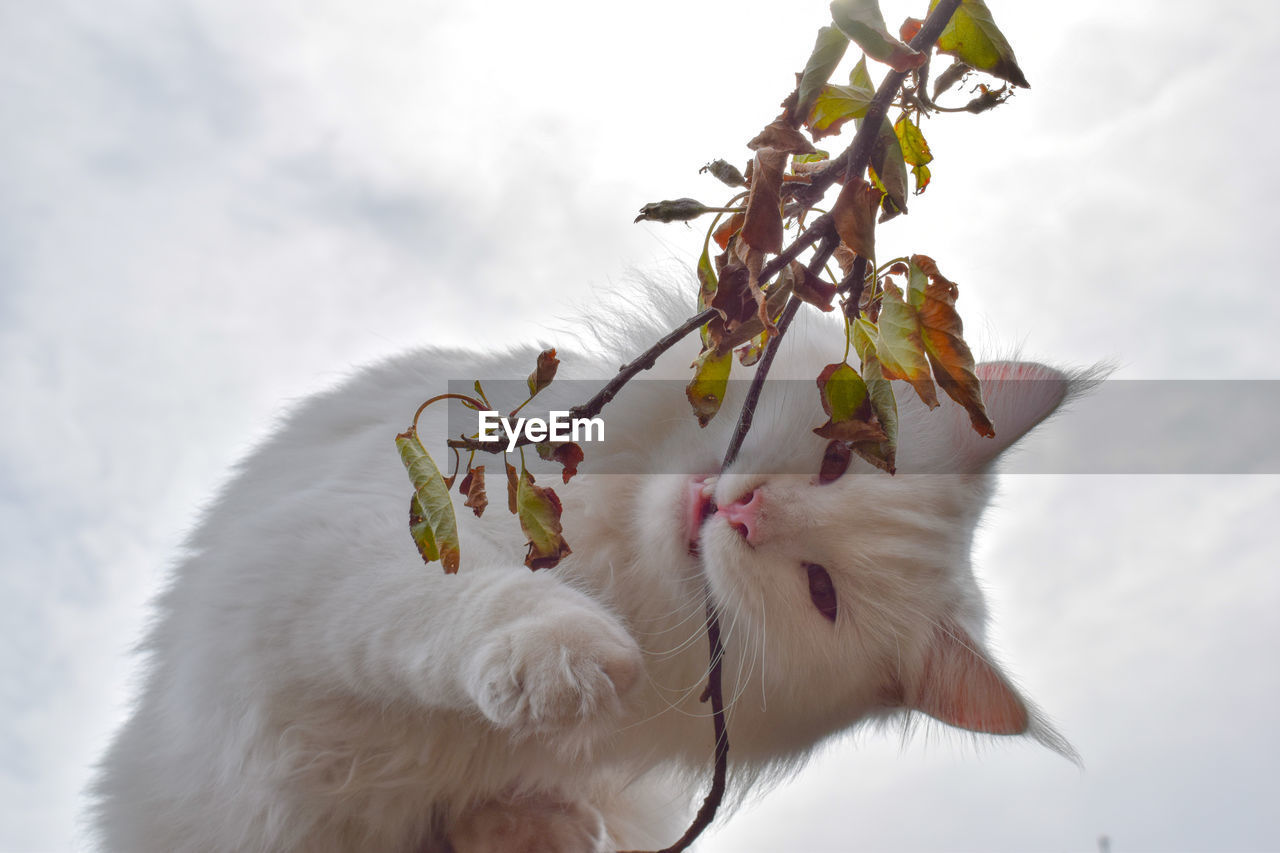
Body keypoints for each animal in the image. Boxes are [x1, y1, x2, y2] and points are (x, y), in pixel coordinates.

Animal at [92, 294, 1080, 850]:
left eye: (820, 591)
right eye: (840, 459)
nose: (740, 512)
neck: (617, 578)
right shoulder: (352, 546)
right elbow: (470, 603)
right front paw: (570, 661)